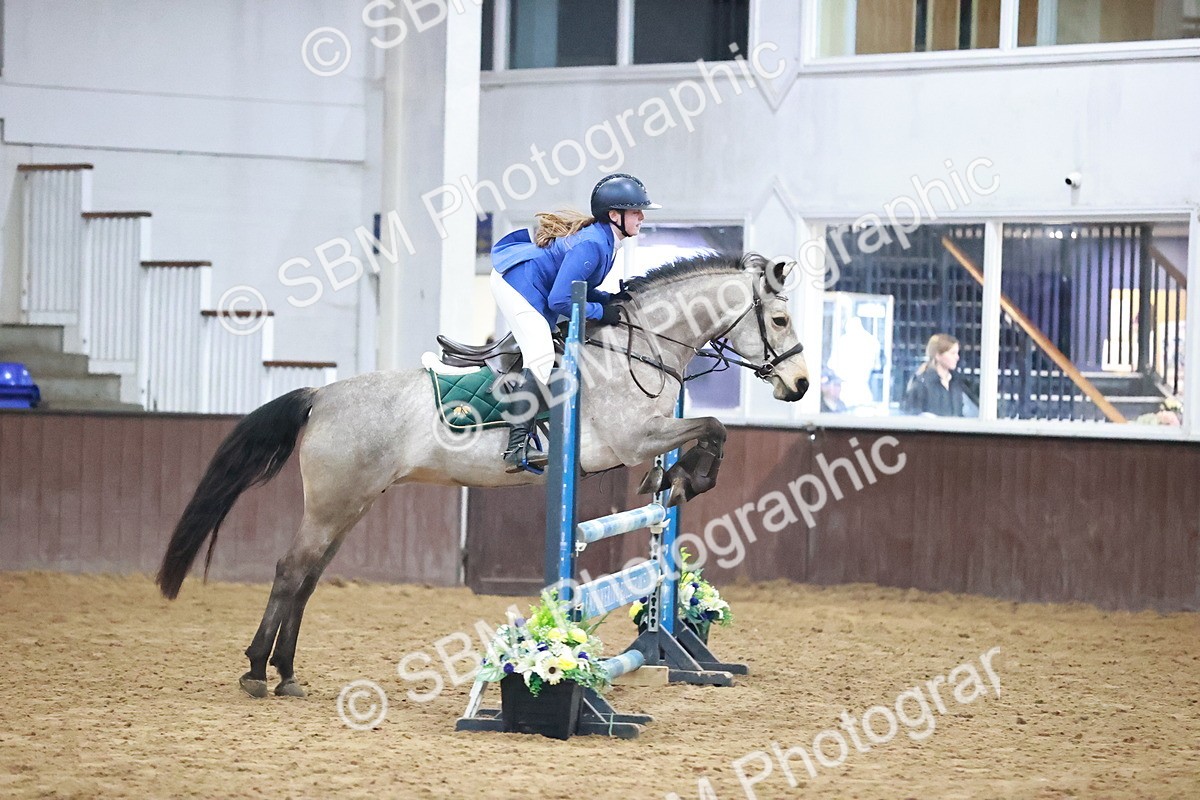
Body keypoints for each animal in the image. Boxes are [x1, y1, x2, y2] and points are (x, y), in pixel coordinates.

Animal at [156, 252, 809, 698]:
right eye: (779, 319)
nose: (800, 385)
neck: (637, 349)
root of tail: (320, 395)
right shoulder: (633, 439)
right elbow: (714, 427)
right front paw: (684, 482)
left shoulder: (648, 434)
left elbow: (707, 431)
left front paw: (671, 483)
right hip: (333, 503)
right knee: (292, 571)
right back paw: (257, 671)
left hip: (352, 503)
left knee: (308, 577)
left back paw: (286, 672)